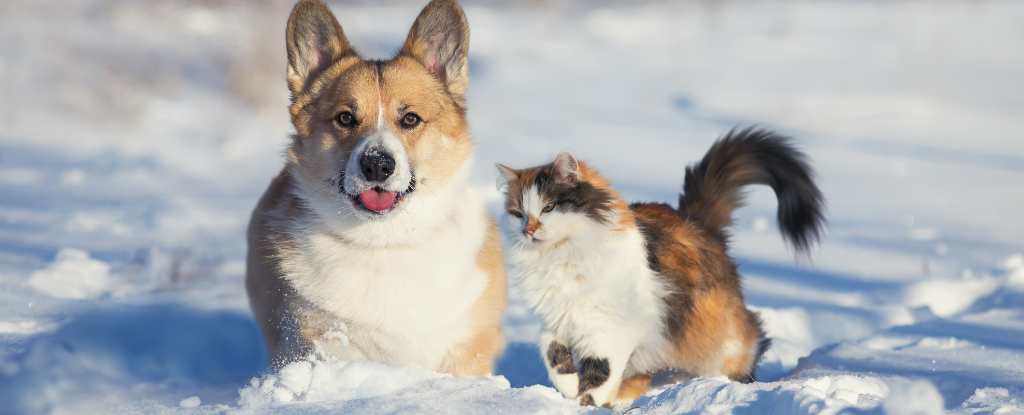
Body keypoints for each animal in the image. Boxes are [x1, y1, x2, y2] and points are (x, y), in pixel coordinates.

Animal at [244, 0, 507, 375]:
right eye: (345, 118)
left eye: (410, 119)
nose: (377, 164)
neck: (385, 242)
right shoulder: (323, 339)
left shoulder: (467, 347)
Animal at [495, 127, 823, 407]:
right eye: (518, 214)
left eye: (549, 207)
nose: (528, 230)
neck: (558, 258)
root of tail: (696, 221)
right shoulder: (555, 320)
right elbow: (552, 353)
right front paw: (569, 388)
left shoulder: (608, 331)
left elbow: (600, 376)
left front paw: (587, 406)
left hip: (717, 340)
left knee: (751, 344)